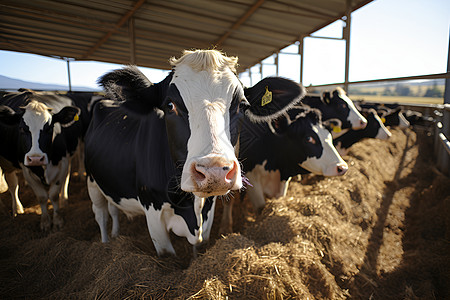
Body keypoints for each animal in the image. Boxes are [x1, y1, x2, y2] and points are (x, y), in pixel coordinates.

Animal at [0, 89, 82, 230]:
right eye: (21, 128)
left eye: (49, 128)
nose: (36, 158)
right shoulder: (26, 169)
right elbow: (42, 197)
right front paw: (45, 222)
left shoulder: (63, 162)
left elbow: (54, 194)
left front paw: (58, 221)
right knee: (12, 184)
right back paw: (16, 210)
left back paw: (64, 201)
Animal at [84, 49, 302, 255]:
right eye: (169, 105)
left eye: (242, 105)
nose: (215, 172)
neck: (192, 207)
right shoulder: (154, 215)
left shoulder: (208, 211)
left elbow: (198, 249)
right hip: (92, 181)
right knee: (101, 214)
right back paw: (105, 242)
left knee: (113, 209)